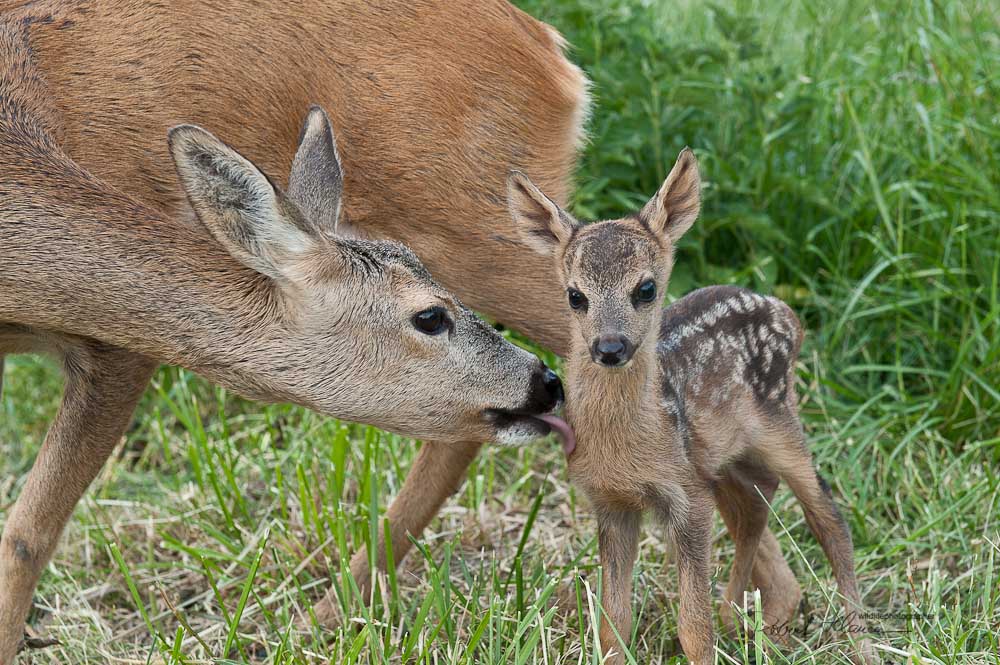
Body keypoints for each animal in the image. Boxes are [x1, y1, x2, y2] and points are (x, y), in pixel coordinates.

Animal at [0, 0, 796, 648]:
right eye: (429, 316)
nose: (542, 385)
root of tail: (553, 53)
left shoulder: (117, 344)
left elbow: (26, 534)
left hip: (492, 234)